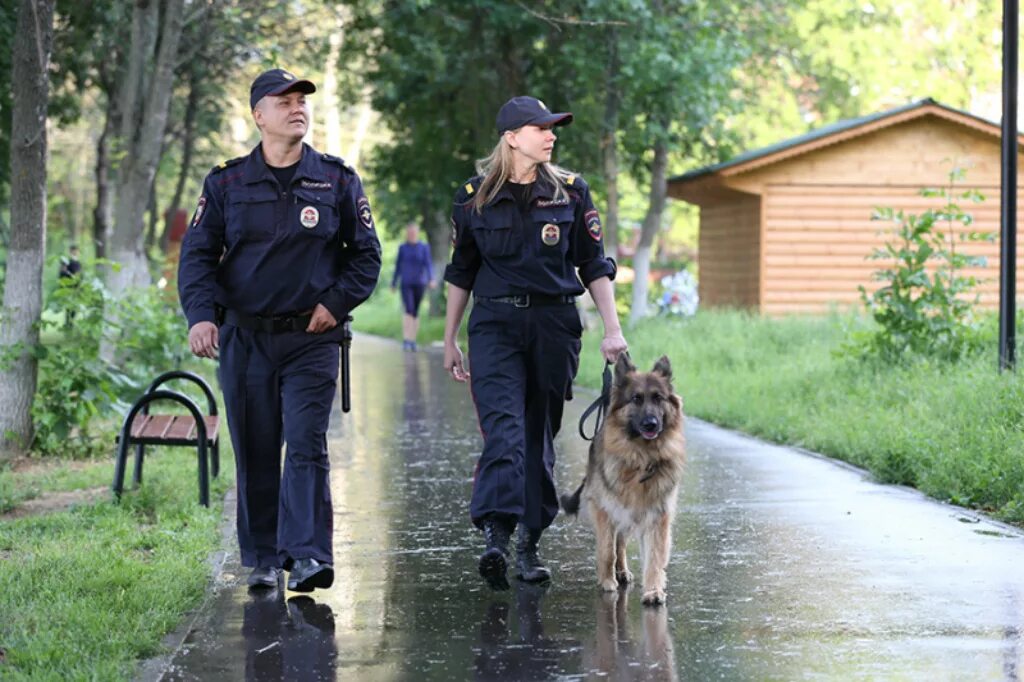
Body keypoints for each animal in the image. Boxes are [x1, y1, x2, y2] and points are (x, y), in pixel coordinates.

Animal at [561, 352, 688, 602]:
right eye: (636, 399)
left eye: (658, 398)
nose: (651, 424)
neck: (642, 458)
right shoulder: (605, 509)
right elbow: (607, 550)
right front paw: (606, 581)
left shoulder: (656, 516)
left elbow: (654, 557)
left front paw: (653, 590)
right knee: (615, 543)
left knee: (621, 543)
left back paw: (623, 571)